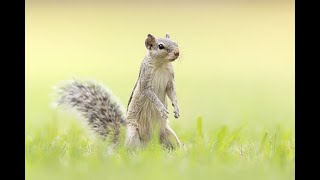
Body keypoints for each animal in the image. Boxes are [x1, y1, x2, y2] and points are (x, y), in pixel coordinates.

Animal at [53, 33, 181, 150]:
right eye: (160, 46)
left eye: (176, 43)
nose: (177, 52)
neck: (161, 64)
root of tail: (149, 144)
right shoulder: (145, 81)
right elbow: (150, 94)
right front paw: (161, 108)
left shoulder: (170, 81)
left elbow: (172, 92)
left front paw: (176, 108)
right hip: (133, 134)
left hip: (168, 134)